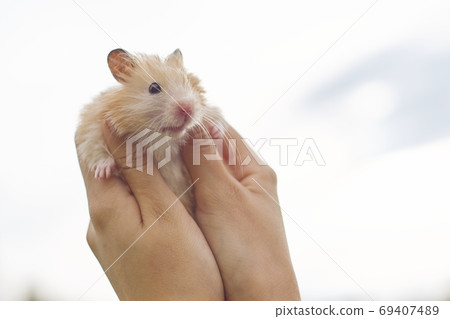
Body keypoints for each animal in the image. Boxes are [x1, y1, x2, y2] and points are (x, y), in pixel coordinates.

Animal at [77, 48, 227, 216]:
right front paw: (103, 173)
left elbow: (217, 117)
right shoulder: (92, 128)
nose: (188, 109)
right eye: (154, 88)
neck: (160, 140)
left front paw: (216, 132)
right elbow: (95, 148)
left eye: (188, 82)